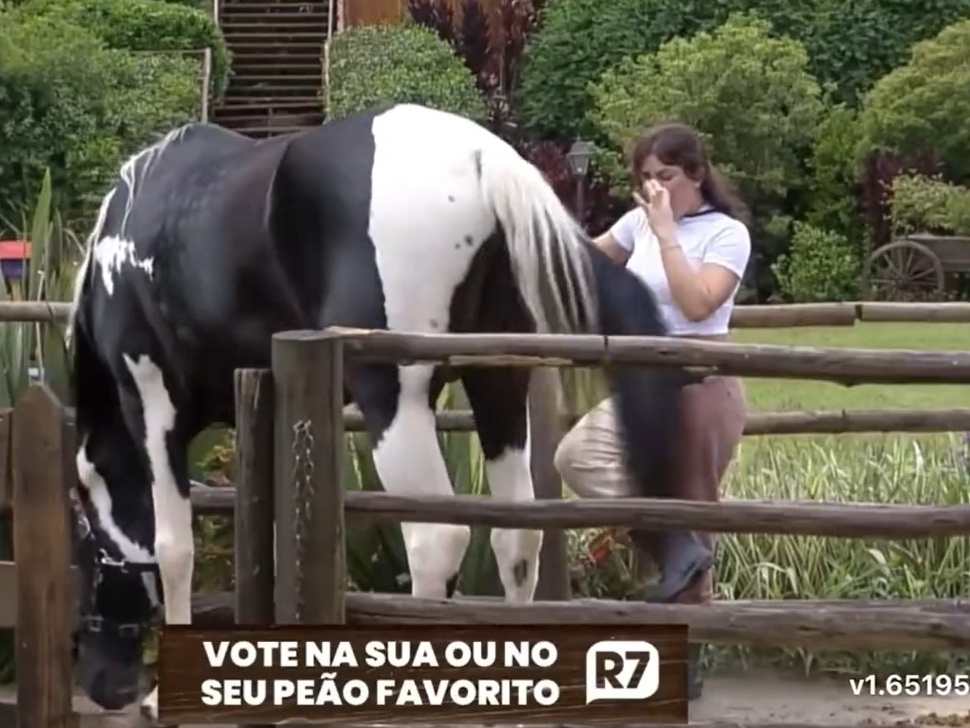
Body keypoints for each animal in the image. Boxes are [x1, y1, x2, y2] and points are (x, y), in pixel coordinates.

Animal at [66, 104, 688, 724]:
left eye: (84, 543)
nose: (106, 685)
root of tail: (484, 157)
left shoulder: (152, 405)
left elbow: (173, 548)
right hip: (497, 387)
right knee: (517, 542)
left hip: (396, 403)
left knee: (436, 543)